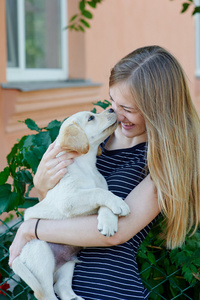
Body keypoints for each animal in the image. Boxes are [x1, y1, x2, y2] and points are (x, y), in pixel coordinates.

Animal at [11, 109, 130, 300]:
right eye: (91, 117)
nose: (112, 109)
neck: (87, 167)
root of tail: (18, 259)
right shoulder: (69, 200)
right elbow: (98, 193)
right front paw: (119, 204)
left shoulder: (97, 192)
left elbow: (104, 197)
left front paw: (108, 222)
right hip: (41, 255)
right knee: (47, 294)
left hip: (67, 263)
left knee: (62, 287)